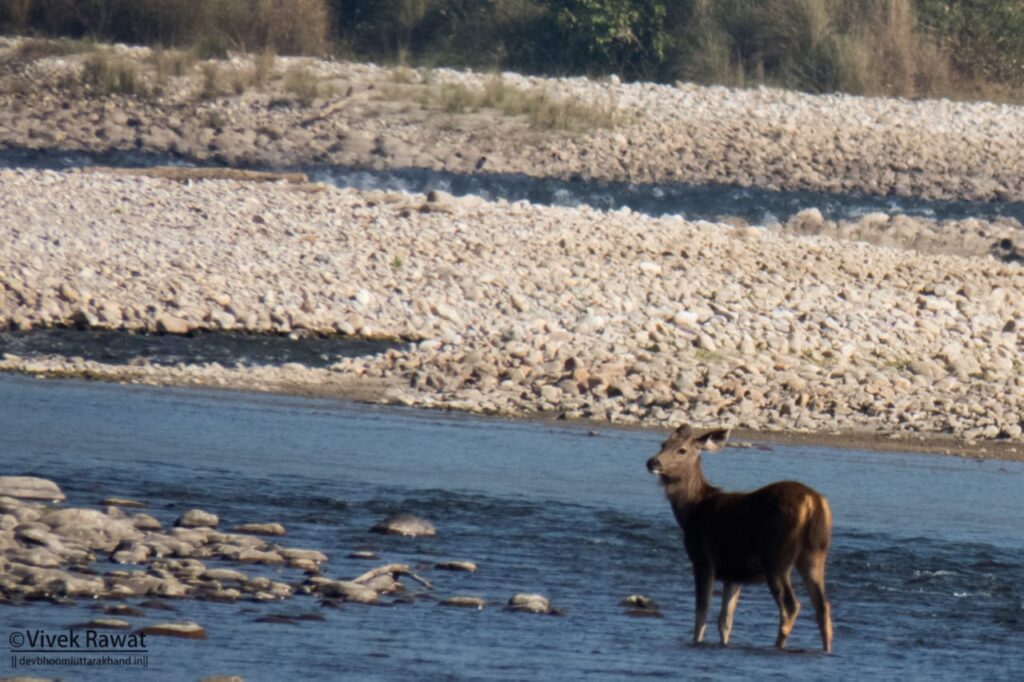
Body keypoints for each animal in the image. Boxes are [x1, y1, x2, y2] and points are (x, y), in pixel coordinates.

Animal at [647, 421, 831, 651]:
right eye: (663, 444)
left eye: (682, 450)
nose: (652, 462)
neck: (692, 511)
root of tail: (813, 503)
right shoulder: (733, 574)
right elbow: (725, 622)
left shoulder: (703, 559)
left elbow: (701, 613)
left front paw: (696, 642)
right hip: (815, 553)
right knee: (823, 607)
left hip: (776, 555)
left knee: (791, 605)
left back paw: (778, 645)